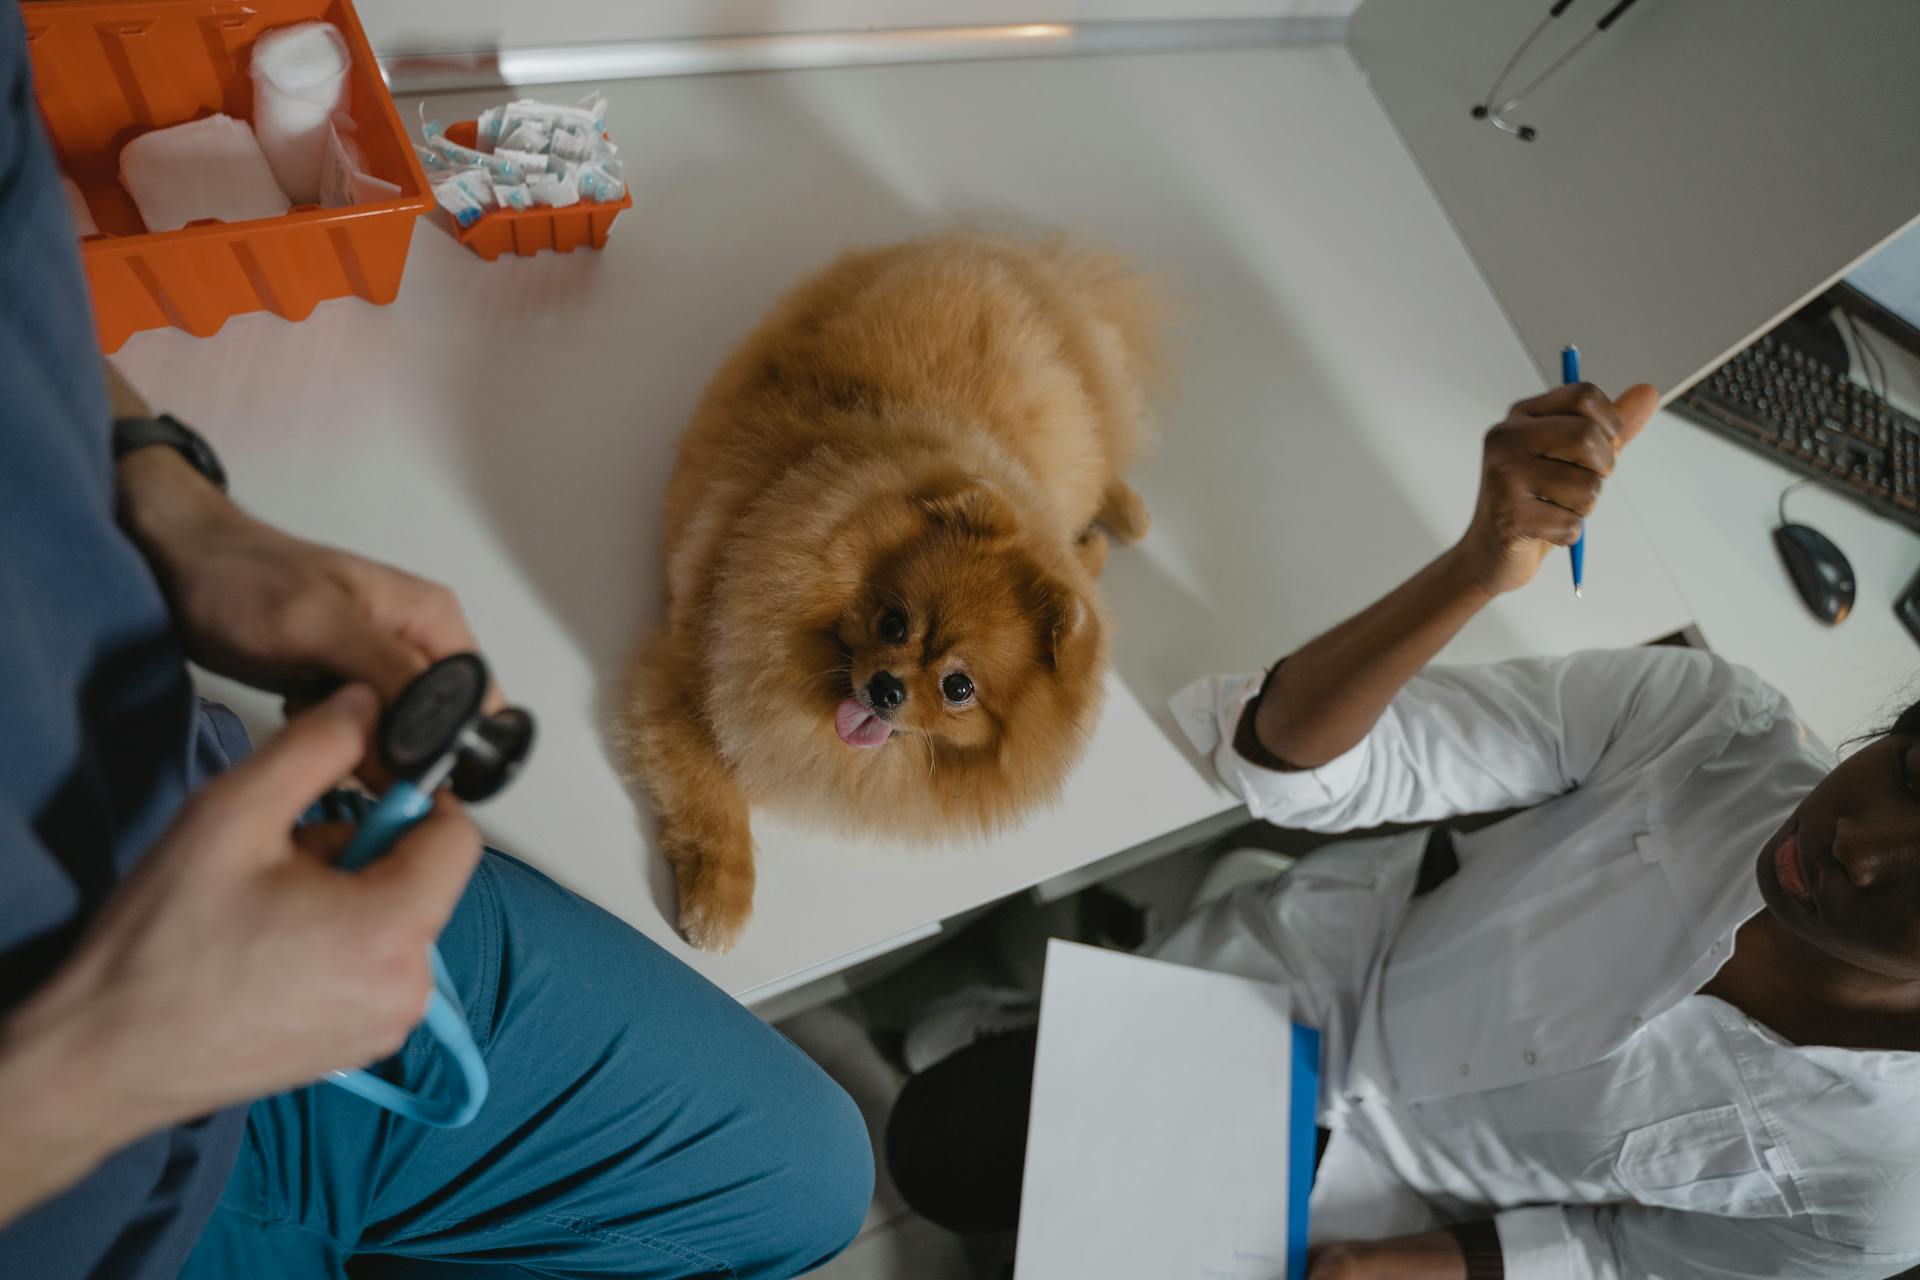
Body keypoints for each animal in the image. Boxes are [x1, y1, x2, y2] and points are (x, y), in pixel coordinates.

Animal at [622, 233, 1159, 951]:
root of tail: (1028, 265)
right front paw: (721, 901)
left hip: (1076, 442)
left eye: (959, 688)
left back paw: (1121, 526)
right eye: (893, 622)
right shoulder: (688, 672)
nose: (885, 689)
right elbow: (711, 798)